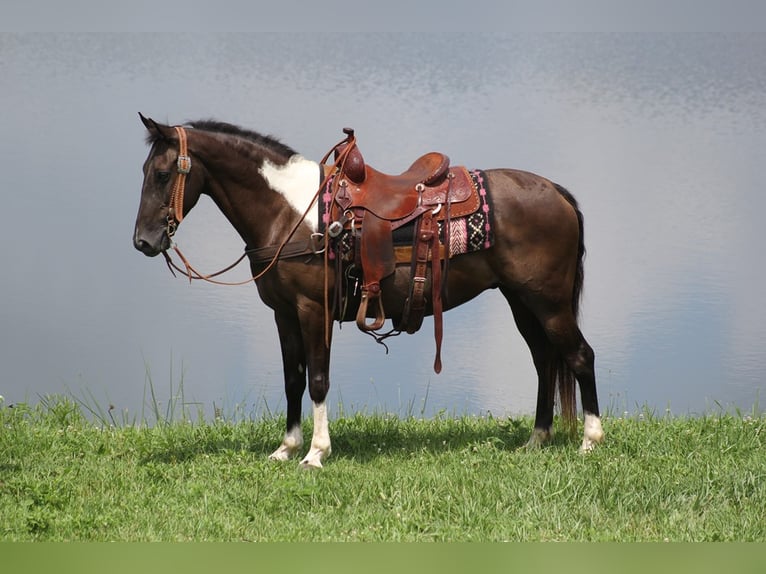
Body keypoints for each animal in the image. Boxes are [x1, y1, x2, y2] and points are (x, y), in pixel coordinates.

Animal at [135, 113, 608, 468]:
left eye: (161, 173)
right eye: (146, 171)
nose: (143, 241)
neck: (291, 213)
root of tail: (558, 193)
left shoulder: (313, 309)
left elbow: (318, 379)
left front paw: (315, 453)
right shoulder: (283, 313)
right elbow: (293, 379)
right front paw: (285, 448)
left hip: (548, 302)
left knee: (579, 355)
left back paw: (591, 439)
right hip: (521, 301)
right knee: (544, 360)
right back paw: (537, 439)